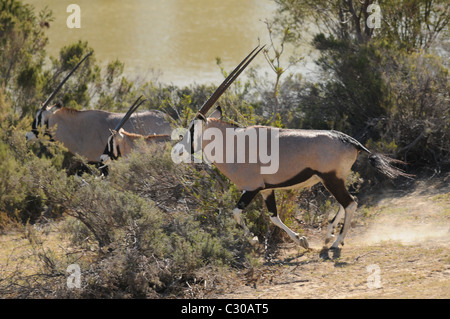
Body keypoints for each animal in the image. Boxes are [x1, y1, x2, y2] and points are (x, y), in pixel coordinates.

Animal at [175, 45, 412, 250]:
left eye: (193, 128)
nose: (177, 151)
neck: (234, 142)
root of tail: (351, 141)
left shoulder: (252, 188)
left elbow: (235, 212)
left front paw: (253, 240)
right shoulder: (266, 189)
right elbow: (274, 217)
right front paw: (302, 240)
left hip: (330, 179)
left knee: (350, 203)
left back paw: (336, 242)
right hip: (335, 179)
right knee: (346, 203)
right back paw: (329, 236)